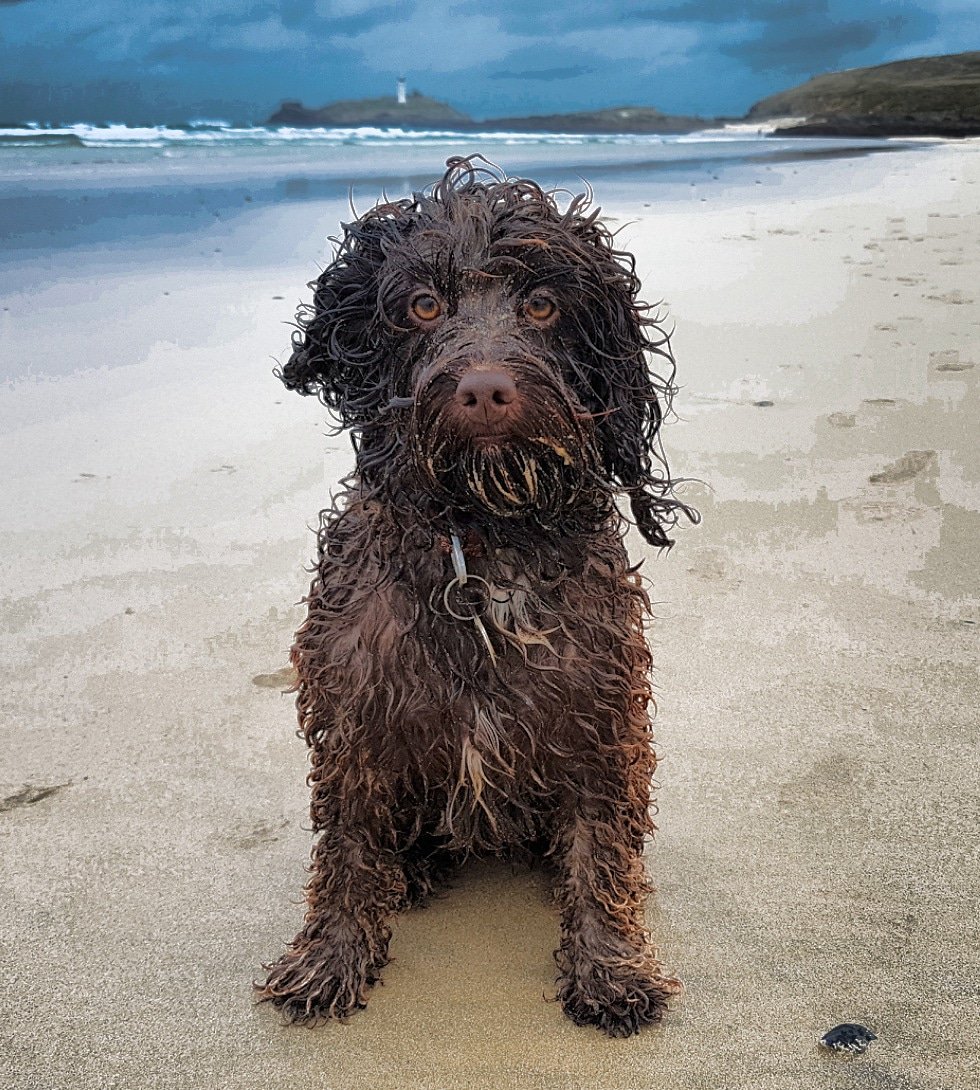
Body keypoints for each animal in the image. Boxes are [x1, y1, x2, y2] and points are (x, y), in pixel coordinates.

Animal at [257, 155, 693, 1037]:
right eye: (423, 305)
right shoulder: (353, 715)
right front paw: (329, 956)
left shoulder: (602, 716)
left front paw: (611, 967)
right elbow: (347, 847)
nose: (486, 390)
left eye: (542, 304)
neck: (482, 539)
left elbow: (601, 849)